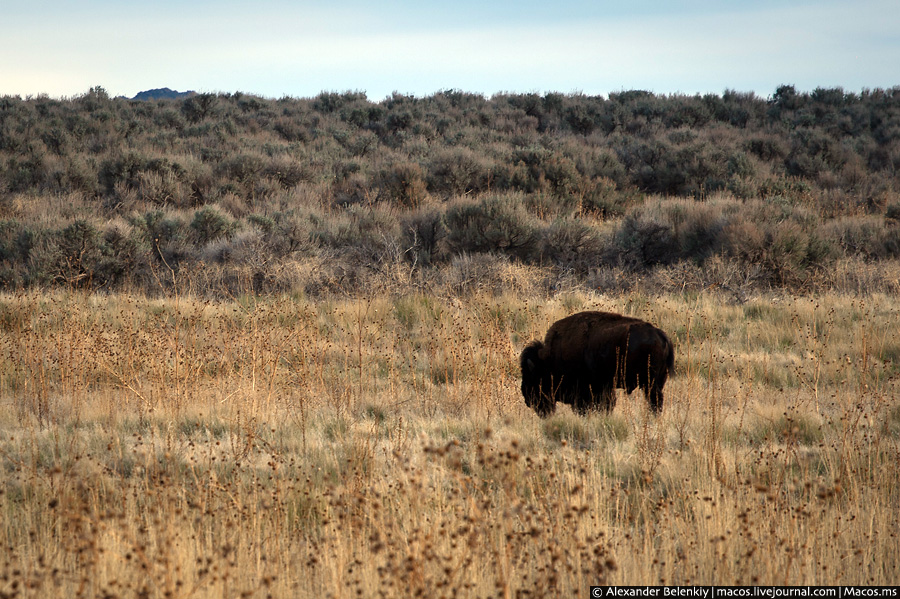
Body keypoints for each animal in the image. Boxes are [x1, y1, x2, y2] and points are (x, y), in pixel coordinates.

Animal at [520, 312, 676, 420]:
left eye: (533, 377)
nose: (528, 400)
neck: (550, 360)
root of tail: (660, 334)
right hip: (658, 380)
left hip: (650, 382)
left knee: (655, 400)